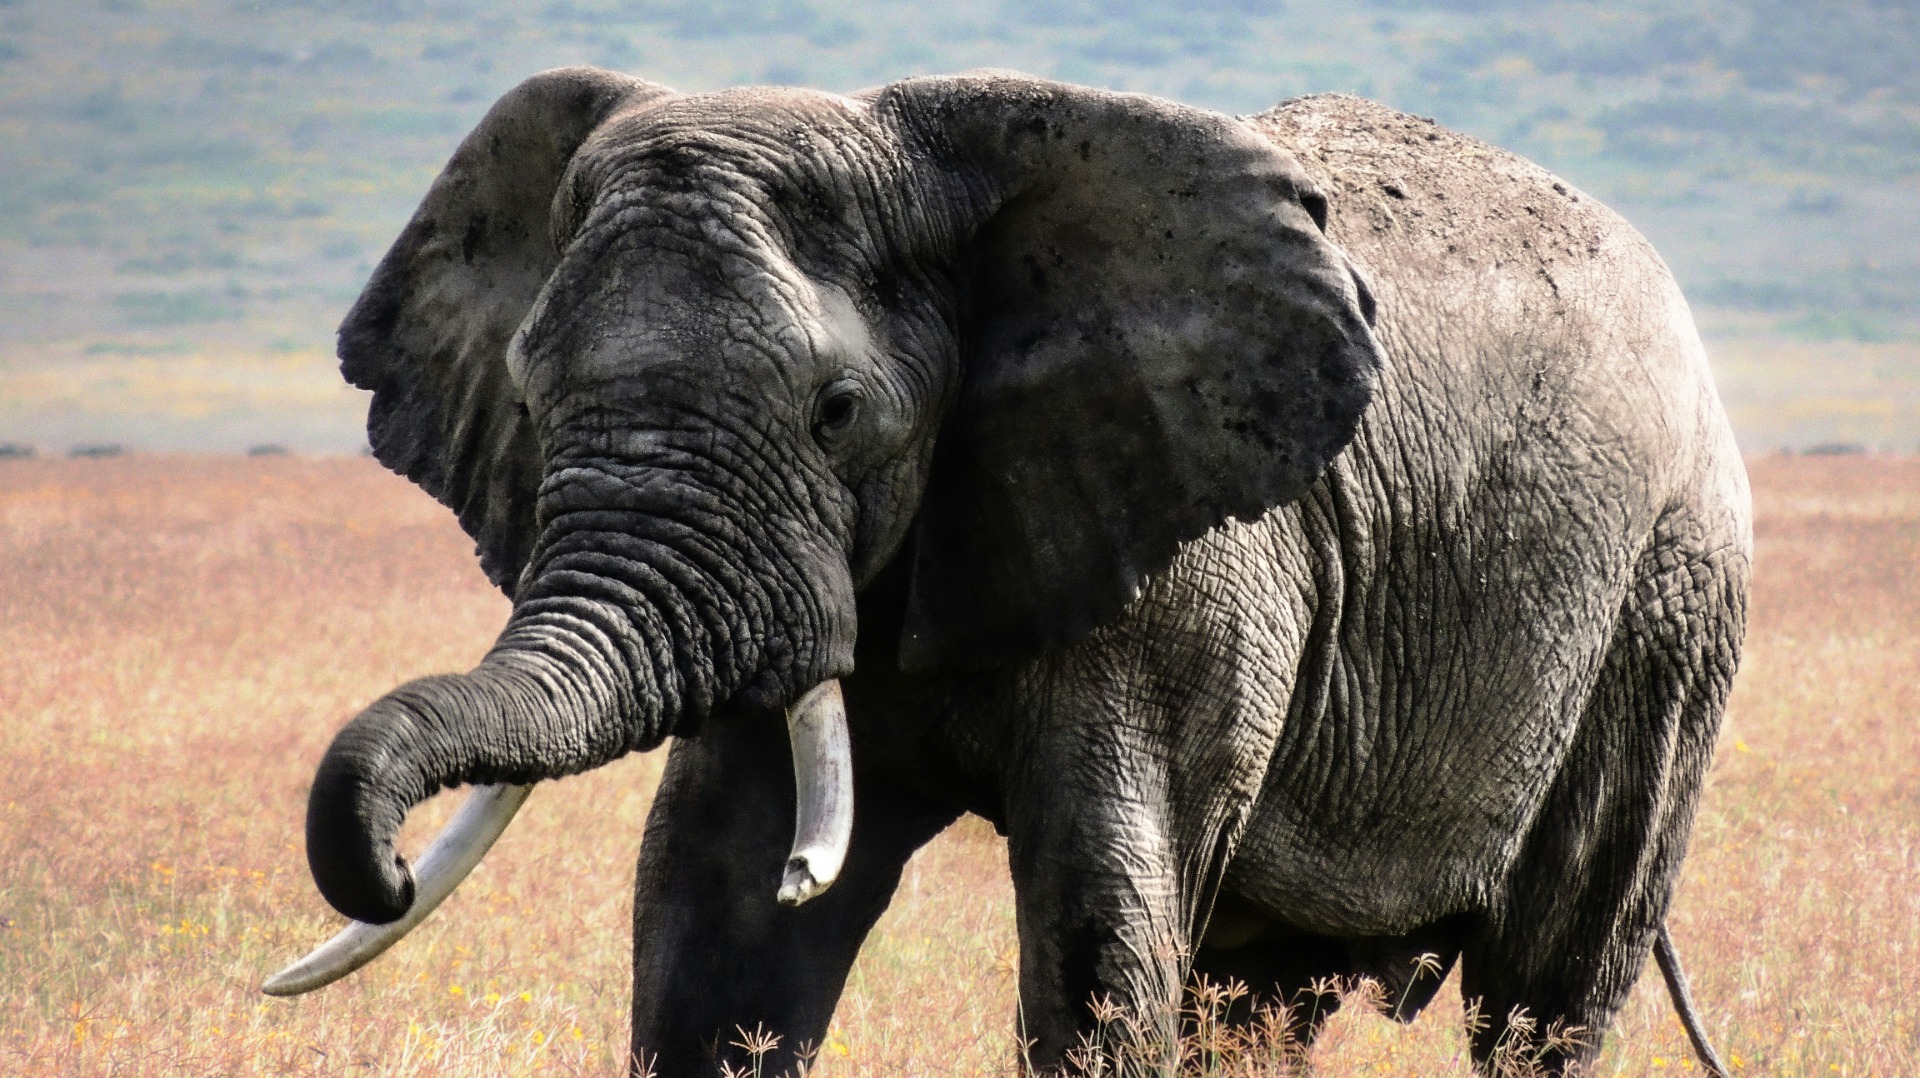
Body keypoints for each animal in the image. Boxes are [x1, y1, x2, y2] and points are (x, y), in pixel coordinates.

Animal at [263, 68, 1750, 1076]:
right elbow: (717, 918)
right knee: (1262, 998)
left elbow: (1098, 942)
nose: (382, 866)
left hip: (1668, 606)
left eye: (838, 411)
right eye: (526, 389)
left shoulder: (1190, 568)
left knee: (1547, 992)